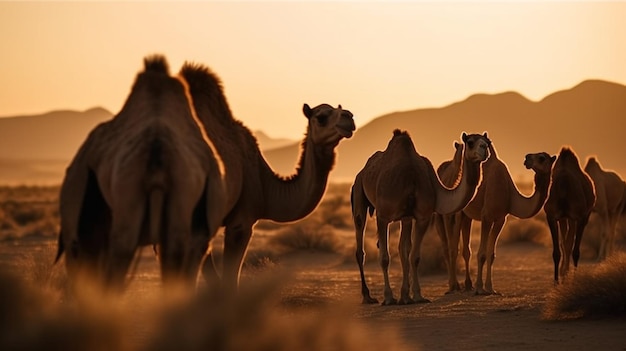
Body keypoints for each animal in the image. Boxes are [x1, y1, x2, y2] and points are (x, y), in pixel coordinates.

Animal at [179, 62, 356, 292]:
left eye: (339, 109)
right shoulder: (241, 221)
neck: (265, 185)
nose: (349, 117)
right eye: (321, 117)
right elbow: (228, 280)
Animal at [348, 129, 490, 306]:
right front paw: (389, 297)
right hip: (359, 191)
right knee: (360, 244)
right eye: (470, 142)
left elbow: (413, 256)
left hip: (405, 217)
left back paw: (402, 295)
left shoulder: (422, 217)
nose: (485, 149)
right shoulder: (383, 215)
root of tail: (363, 171)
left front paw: (414, 296)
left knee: (403, 249)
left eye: (488, 141)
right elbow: (385, 258)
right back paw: (368, 296)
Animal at [436, 141, 552, 296]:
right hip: (450, 214)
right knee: (451, 248)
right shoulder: (487, 217)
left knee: (465, 249)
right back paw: (453, 286)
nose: (527, 158)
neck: (509, 193)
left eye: (542, 158)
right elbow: (482, 254)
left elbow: (491, 254)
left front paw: (490, 288)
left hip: (466, 216)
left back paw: (467, 285)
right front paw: (480, 288)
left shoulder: (500, 219)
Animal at [540, 147, 596, 284]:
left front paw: (574, 278)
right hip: (565, 218)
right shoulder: (552, 216)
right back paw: (564, 272)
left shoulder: (581, 217)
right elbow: (557, 251)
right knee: (565, 243)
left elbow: (575, 251)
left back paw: (567, 272)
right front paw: (556, 281)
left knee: (569, 244)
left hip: (578, 217)